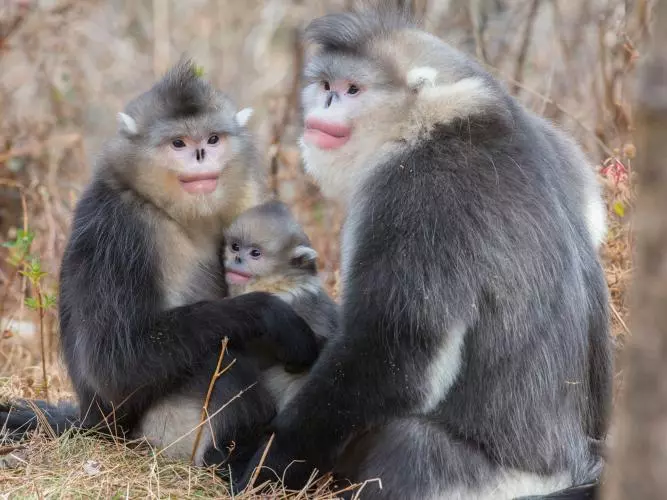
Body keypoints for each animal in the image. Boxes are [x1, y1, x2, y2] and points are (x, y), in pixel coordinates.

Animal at [0, 59, 320, 472]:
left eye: (212, 139)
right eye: (179, 143)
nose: (200, 155)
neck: (174, 211)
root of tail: (93, 422)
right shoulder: (119, 229)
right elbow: (114, 366)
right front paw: (270, 314)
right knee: (221, 360)